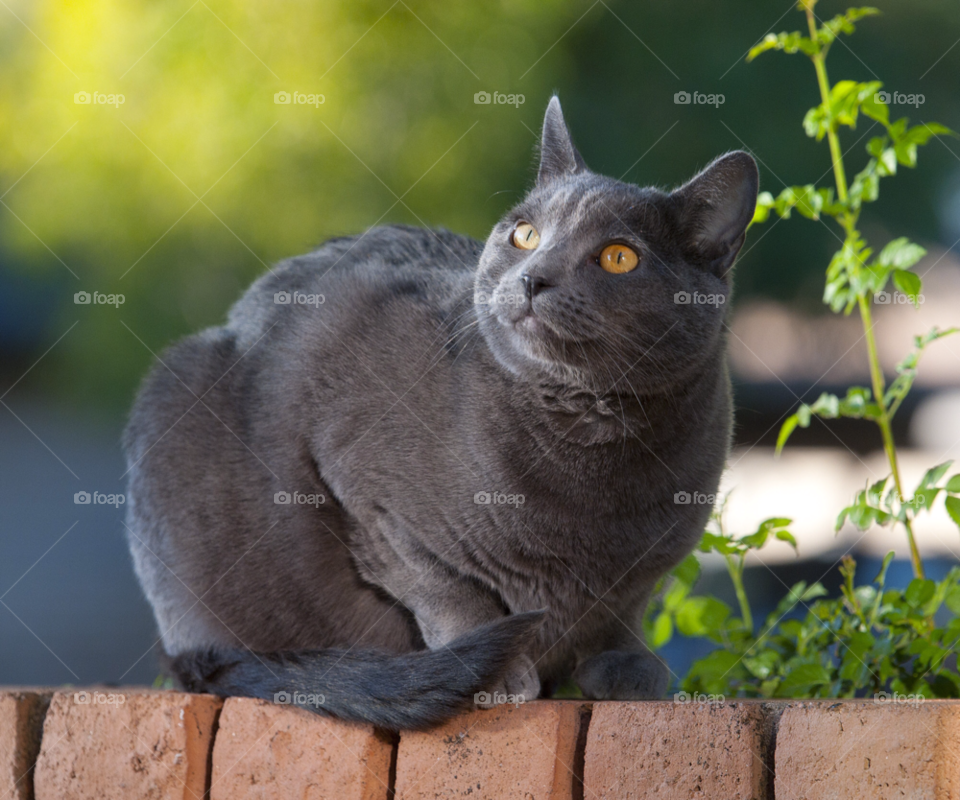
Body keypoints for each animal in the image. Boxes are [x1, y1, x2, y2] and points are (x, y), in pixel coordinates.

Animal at [124, 97, 756, 728]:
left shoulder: (648, 567)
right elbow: (442, 585)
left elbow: (623, 609)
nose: (533, 277)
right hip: (174, 391)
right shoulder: (361, 478)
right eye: (525, 234)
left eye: (619, 257)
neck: (595, 444)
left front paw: (629, 664)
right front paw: (501, 672)